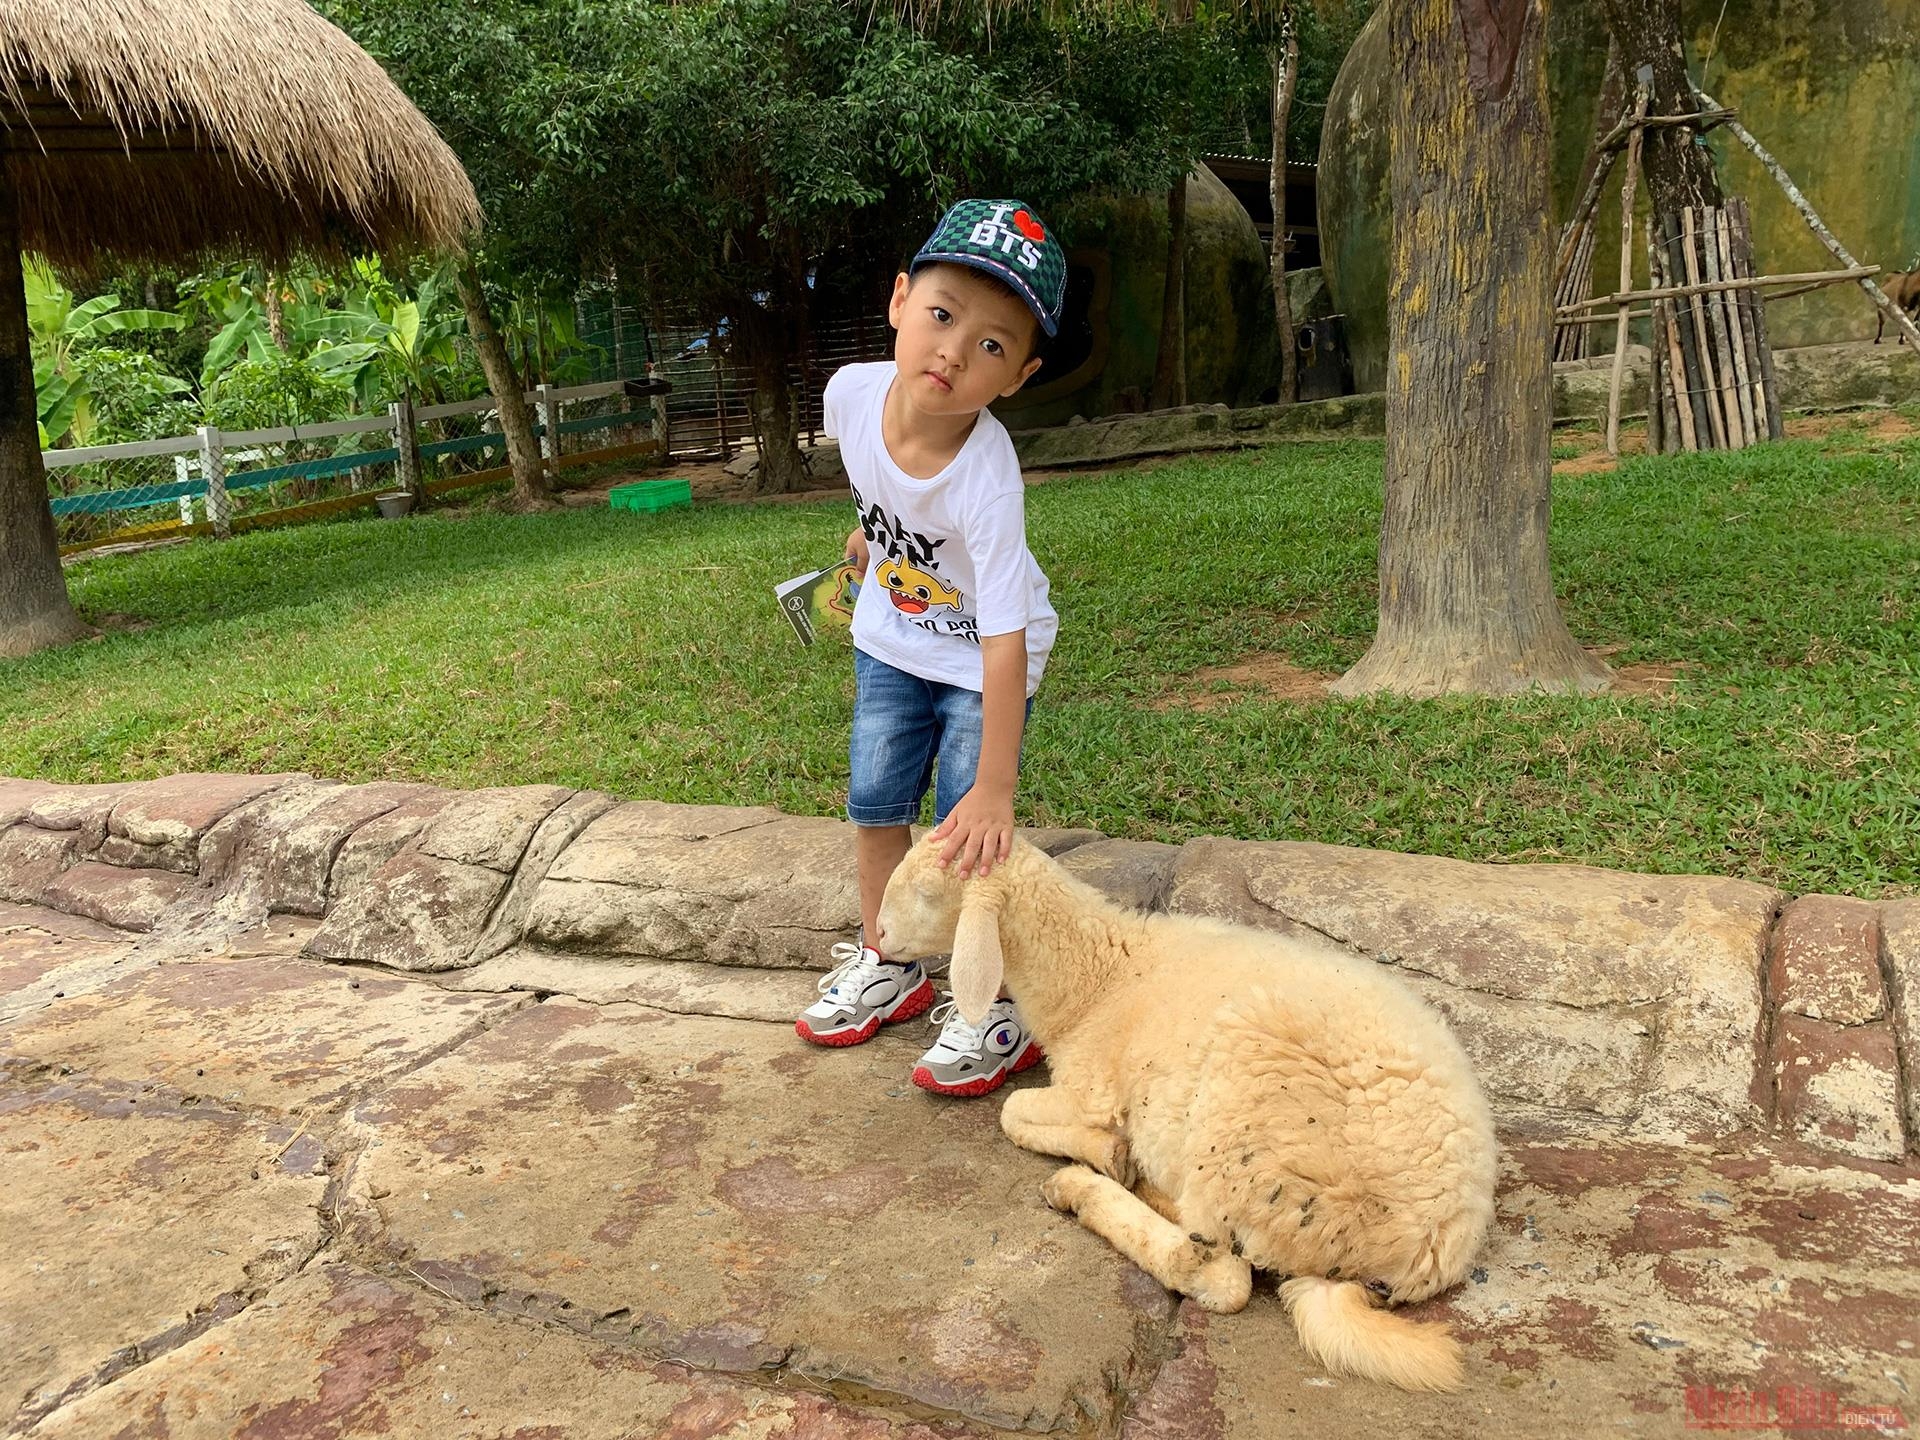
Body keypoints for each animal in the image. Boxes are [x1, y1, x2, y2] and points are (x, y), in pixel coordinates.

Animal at [875, 833, 1497, 1397]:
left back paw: (1089, 1187)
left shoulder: (1090, 1087)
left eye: (928, 893)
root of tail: (1433, 1240)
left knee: (1219, 1273)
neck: (1100, 977)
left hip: (1247, 1134)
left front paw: (1106, 1150)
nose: (878, 935)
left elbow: (1012, 1111)